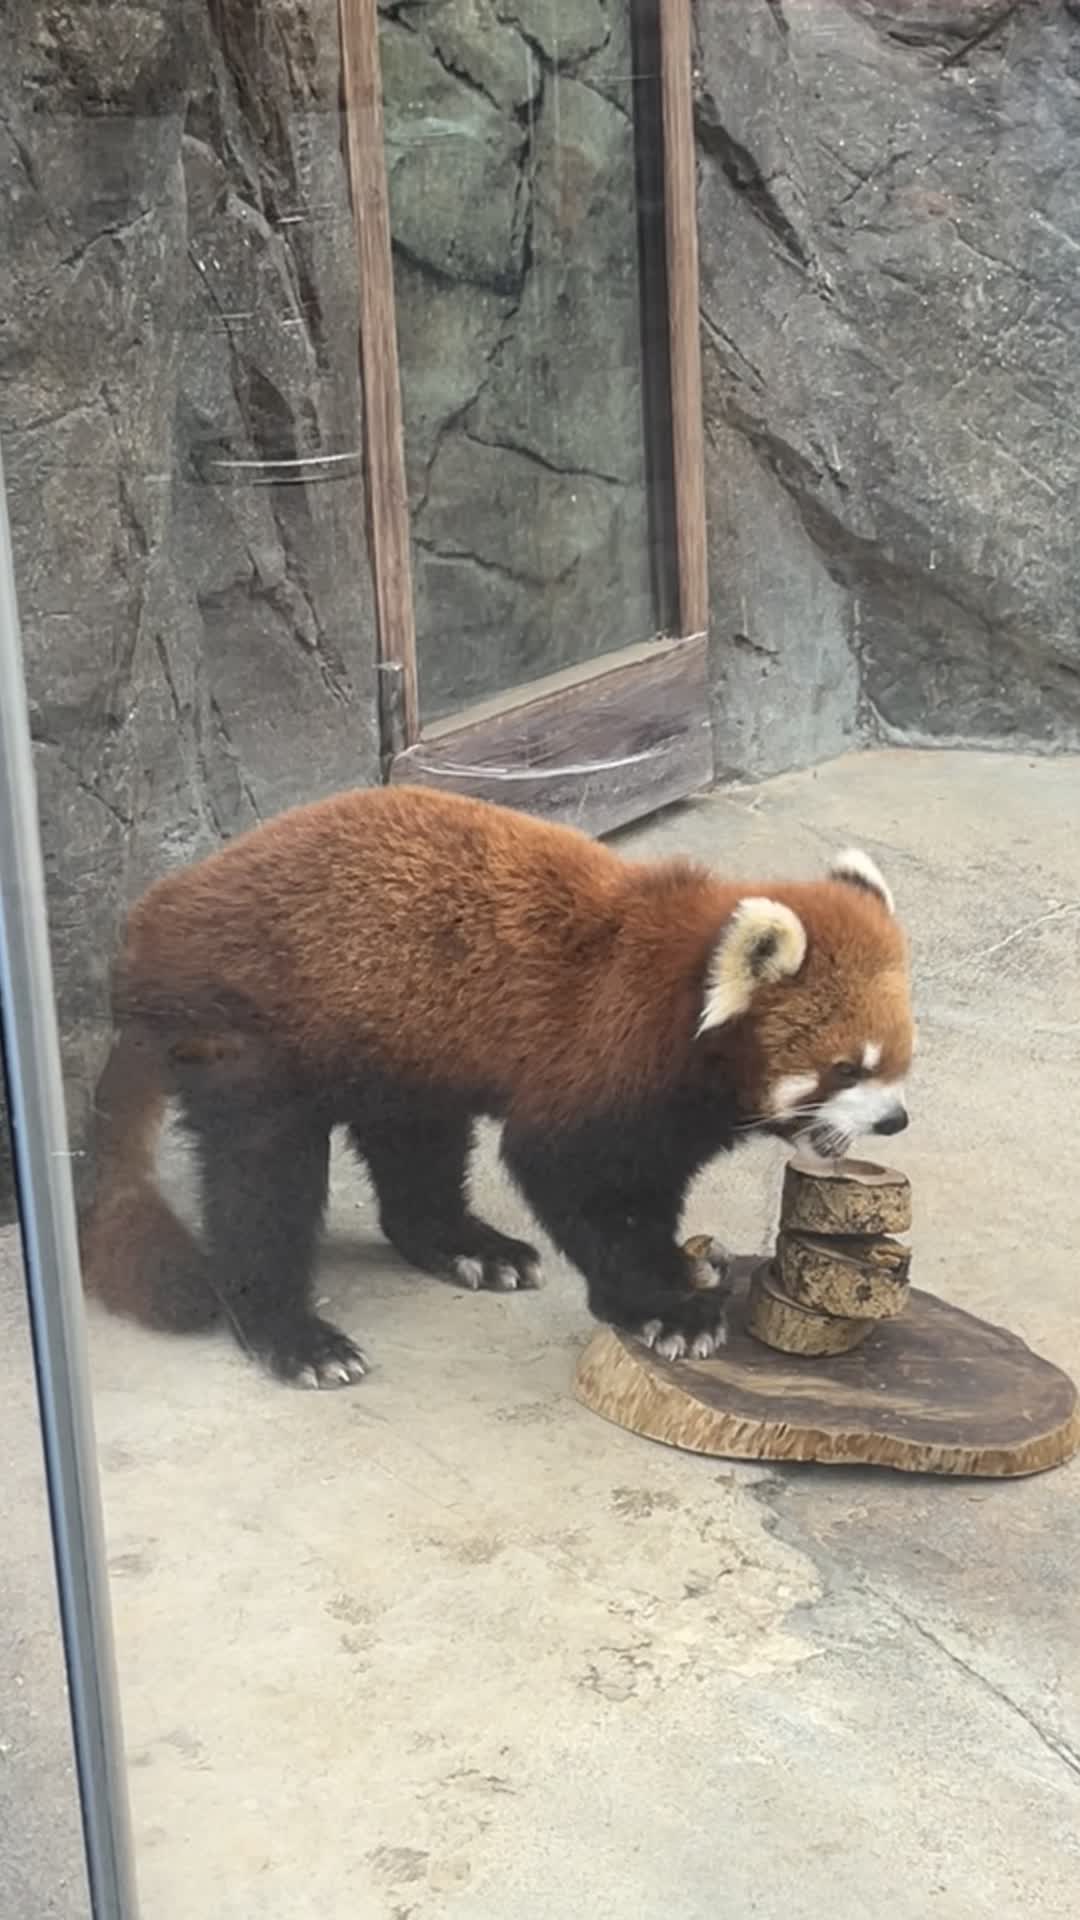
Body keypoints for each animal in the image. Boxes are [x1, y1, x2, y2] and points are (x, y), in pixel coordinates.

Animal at [81, 785, 913, 1387]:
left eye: (902, 1059)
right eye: (848, 1067)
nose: (896, 1121)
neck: (679, 994)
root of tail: (147, 932)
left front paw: (679, 1267)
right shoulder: (599, 1056)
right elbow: (575, 1178)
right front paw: (662, 1307)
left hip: (402, 1045)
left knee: (416, 1149)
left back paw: (465, 1246)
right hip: (245, 1033)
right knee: (262, 1184)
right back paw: (294, 1335)